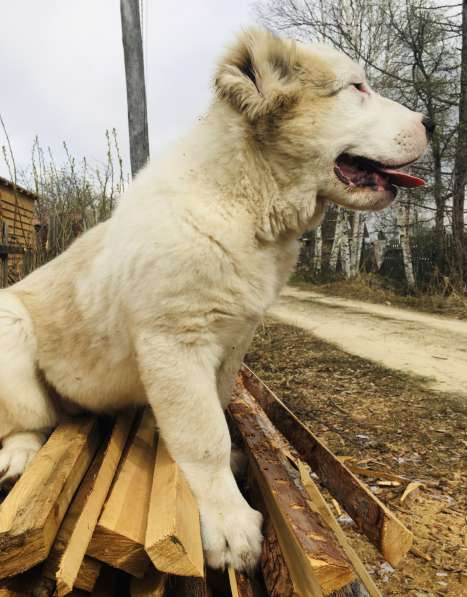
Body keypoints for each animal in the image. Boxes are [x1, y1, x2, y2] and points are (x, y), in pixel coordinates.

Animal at [0, 28, 430, 568]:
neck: (244, 204)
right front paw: (228, 523)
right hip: (11, 326)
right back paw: (18, 455)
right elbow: (205, 436)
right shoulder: (176, 341)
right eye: (356, 88)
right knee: (27, 419)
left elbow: (218, 414)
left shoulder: (233, 341)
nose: (431, 123)